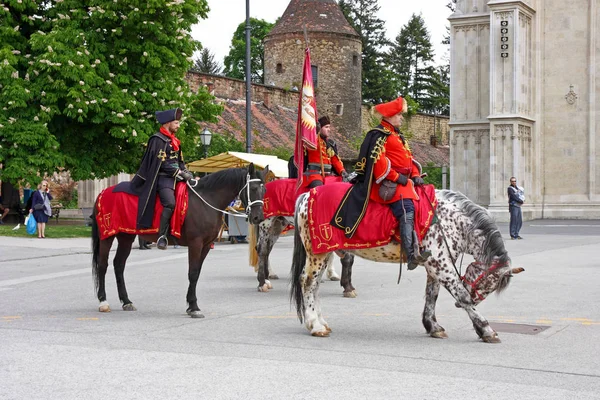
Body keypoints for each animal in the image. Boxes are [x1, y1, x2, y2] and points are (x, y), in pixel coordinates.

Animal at [92, 164, 270, 318]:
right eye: (253, 188)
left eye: (265, 190)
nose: (258, 218)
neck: (206, 200)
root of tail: (103, 193)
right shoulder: (195, 243)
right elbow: (192, 273)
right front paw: (194, 307)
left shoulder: (206, 246)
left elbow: (196, 273)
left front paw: (191, 305)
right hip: (107, 236)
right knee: (103, 265)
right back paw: (103, 302)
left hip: (126, 237)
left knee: (119, 265)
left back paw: (126, 301)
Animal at [290, 189, 524, 342]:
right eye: (489, 283)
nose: (477, 299)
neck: (451, 220)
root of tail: (306, 196)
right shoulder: (441, 266)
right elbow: (462, 295)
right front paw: (485, 329)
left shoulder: (435, 266)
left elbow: (432, 295)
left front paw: (433, 326)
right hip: (318, 253)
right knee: (308, 283)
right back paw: (315, 325)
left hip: (323, 253)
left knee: (315, 285)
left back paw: (320, 321)